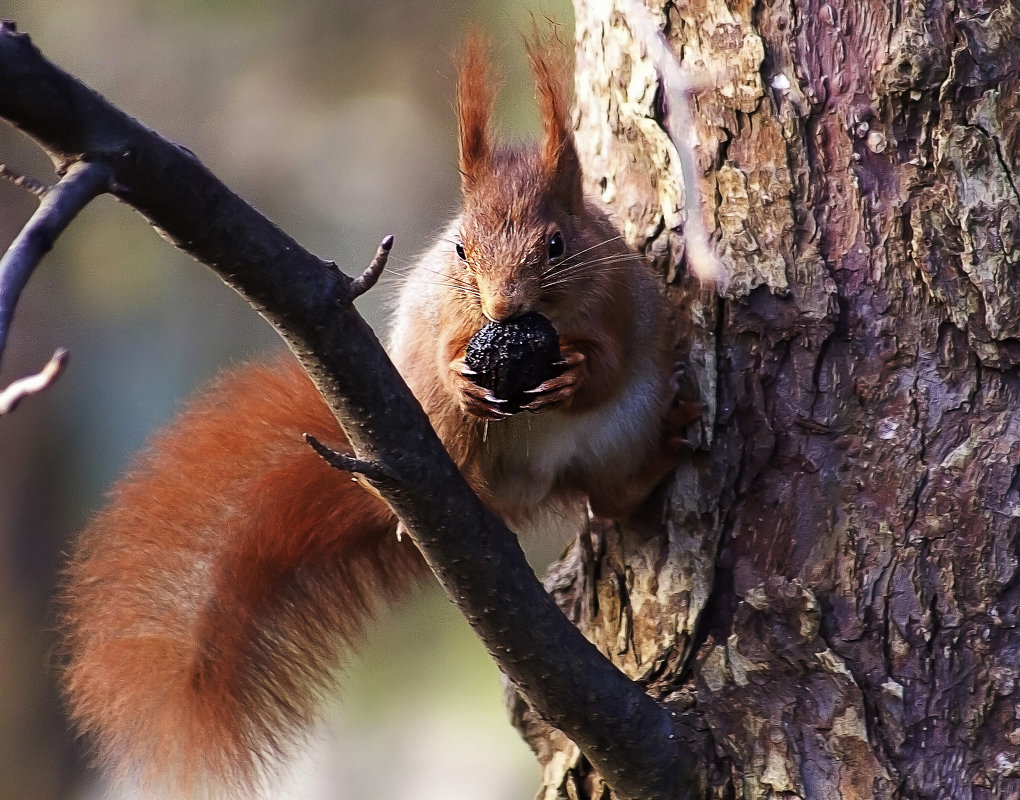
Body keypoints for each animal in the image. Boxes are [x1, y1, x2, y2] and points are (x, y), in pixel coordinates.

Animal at [59, 35, 701, 800]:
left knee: (610, 496)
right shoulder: (446, 310)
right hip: (444, 440)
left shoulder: (622, 301)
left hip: (618, 434)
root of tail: (525, 488)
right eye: (461, 249)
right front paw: (460, 369)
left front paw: (575, 371)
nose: (503, 307)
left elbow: (609, 360)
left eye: (556, 246)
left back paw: (664, 449)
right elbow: (445, 347)